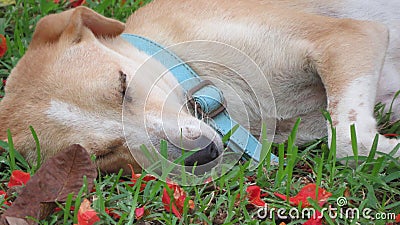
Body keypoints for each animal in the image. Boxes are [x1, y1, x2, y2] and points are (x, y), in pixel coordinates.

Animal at [0, 0, 398, 172]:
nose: (203, 155)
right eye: (101, 156)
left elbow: (346, 138)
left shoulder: (348, 36)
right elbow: (346, 142)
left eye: (122, 84)